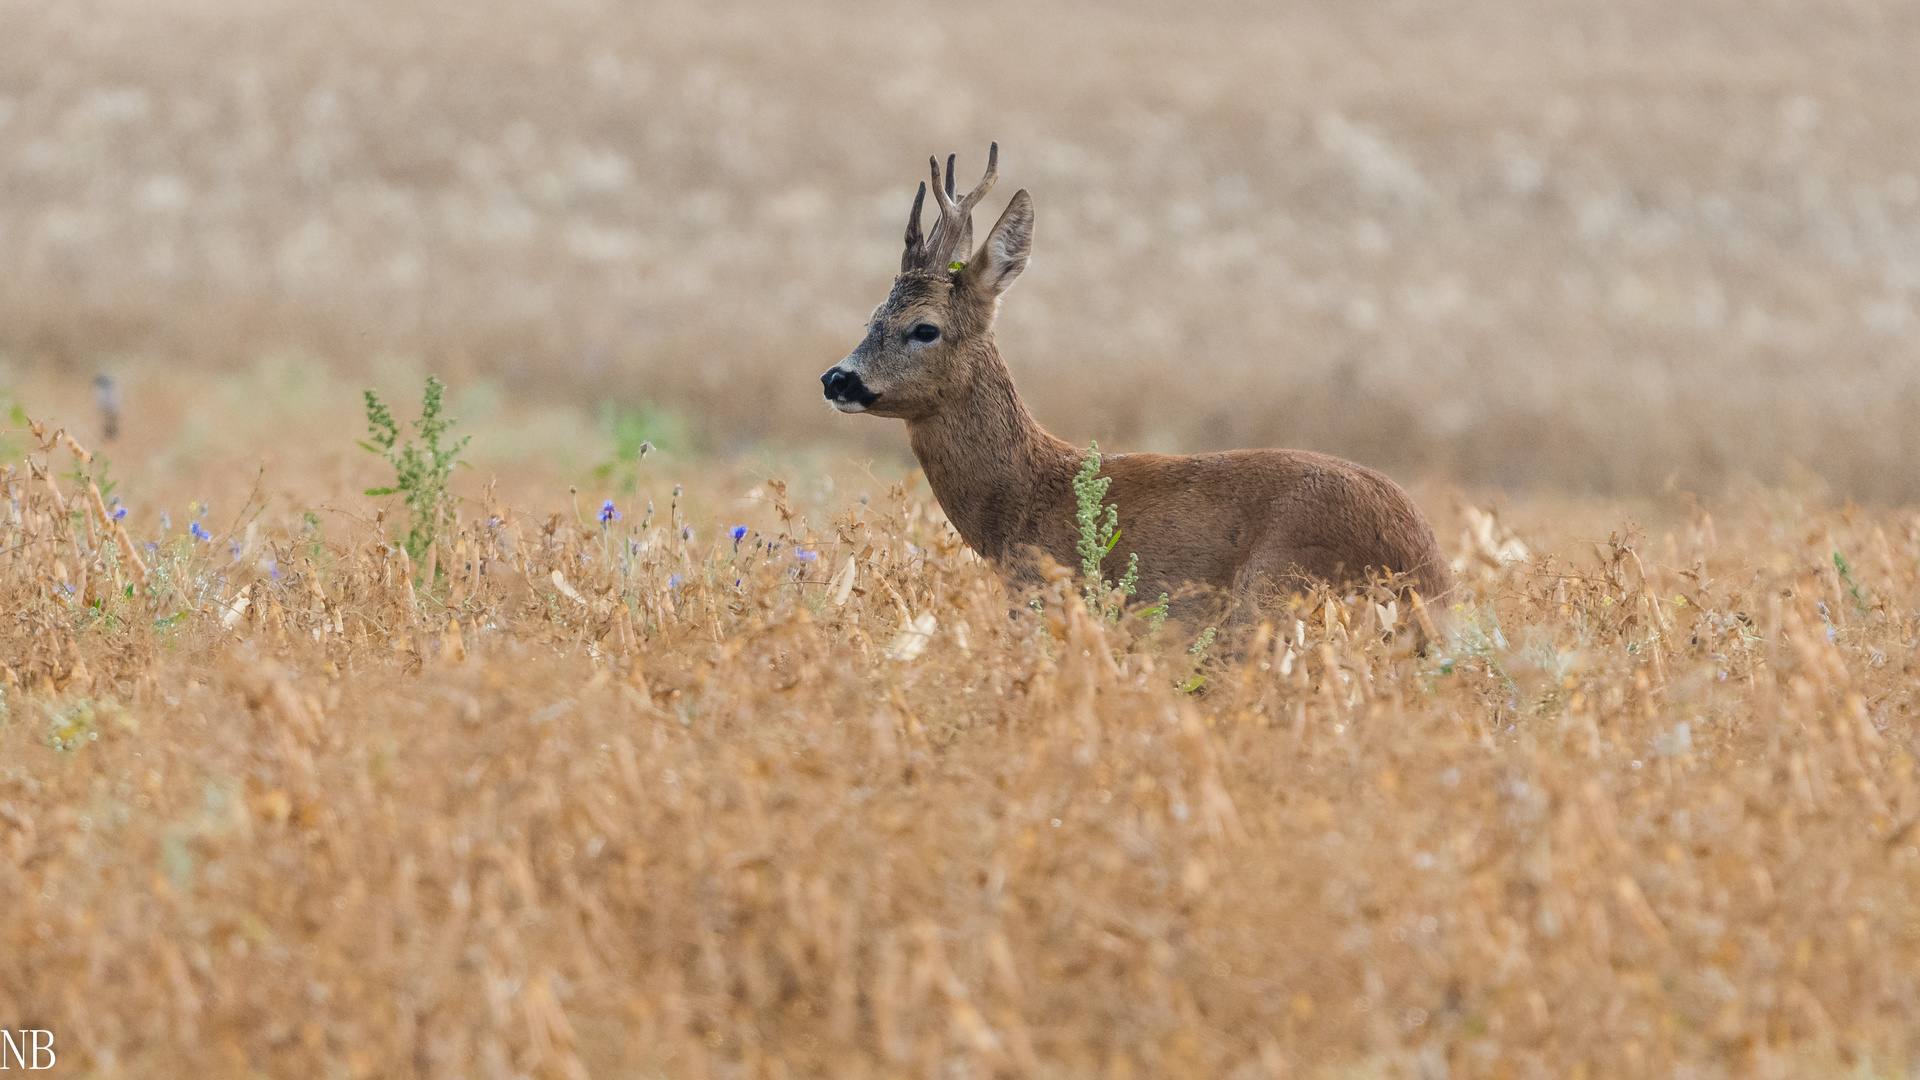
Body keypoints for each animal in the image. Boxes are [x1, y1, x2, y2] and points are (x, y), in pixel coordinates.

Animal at [817, 147, 1443, 626]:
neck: (1023, 498)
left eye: (925, 328)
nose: (836, 378)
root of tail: (1429, 574)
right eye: (872, 316)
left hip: (1272, 598)